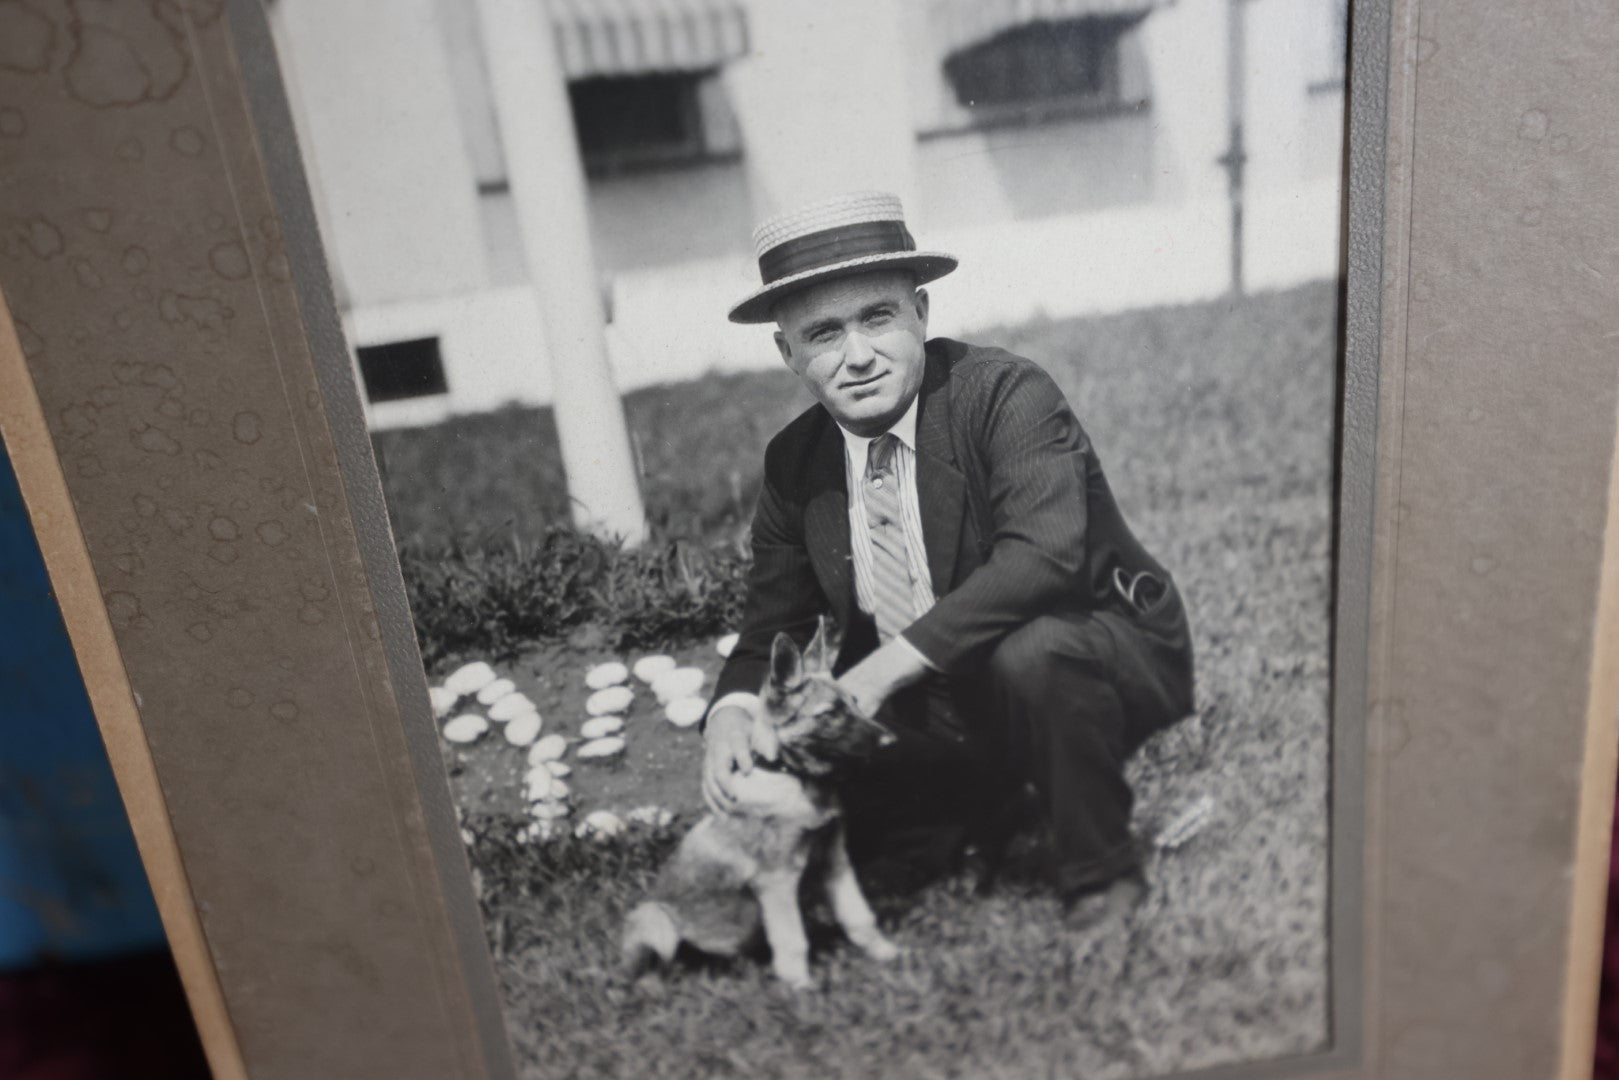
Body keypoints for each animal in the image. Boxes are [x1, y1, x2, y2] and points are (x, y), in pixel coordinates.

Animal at [618, 621, 900, 990]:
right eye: (829, 714)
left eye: (855, 703)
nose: (890, 742)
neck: (792, 776)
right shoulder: (776, 880)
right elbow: (793, 941)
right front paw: (801, 989)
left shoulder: (834, 858)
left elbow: (857, 915)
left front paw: (885, 953)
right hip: (656, 923)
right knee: (646, 973)